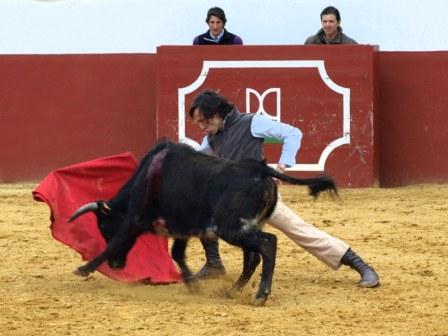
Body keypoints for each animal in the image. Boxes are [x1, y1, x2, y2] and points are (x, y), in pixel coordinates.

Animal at [69, 140, 336, 306]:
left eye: (104, 227)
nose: (117, 265)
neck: (145, 176)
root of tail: (259, 169)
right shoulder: (182, 228)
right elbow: (177, 254)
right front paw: (193, 285)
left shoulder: (137, 219)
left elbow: (116, 241)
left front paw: (84, 268)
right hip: (246, 227)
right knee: (253, 257)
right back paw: (231, 291)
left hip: (232, 228)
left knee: (268, 244)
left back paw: (260, 295)